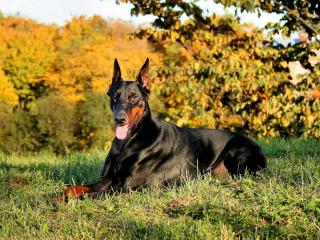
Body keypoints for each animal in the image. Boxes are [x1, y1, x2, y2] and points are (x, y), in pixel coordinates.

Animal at [63, 58, 266, 199]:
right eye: (115, 95)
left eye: (134, 97)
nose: (119, 119)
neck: (128, 141)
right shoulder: (106, 179)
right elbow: (73, 189)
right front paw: (61, 196)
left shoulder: (126, 186)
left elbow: (88, 196)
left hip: (237, 149)